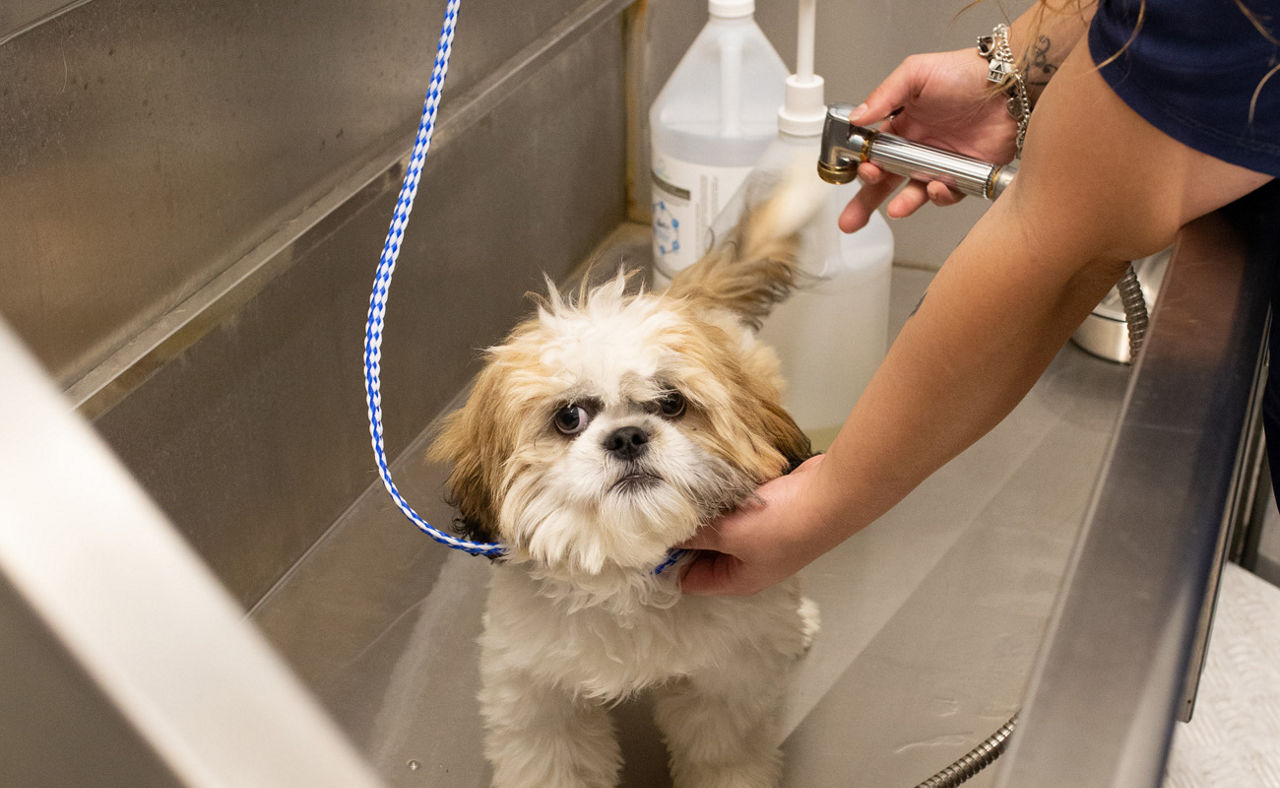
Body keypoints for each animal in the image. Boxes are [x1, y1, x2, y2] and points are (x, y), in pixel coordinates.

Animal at [430, 167, 824, 788]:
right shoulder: (534, 691)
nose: (627, 436)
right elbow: (553, 759)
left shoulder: (726, 683)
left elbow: (725, 750)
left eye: (671, 403)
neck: (625, 574)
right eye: (569, 418)